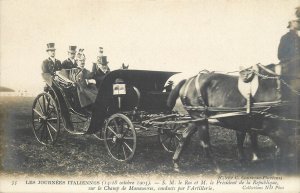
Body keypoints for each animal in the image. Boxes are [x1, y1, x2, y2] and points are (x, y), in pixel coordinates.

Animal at [166, 64, 298, 173]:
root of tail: (188, 80)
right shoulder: (274, 130)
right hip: (200, 118)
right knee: (205, 143)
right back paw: (217, 168)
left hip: (196, 119)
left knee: (185, 136)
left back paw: (176, 163)